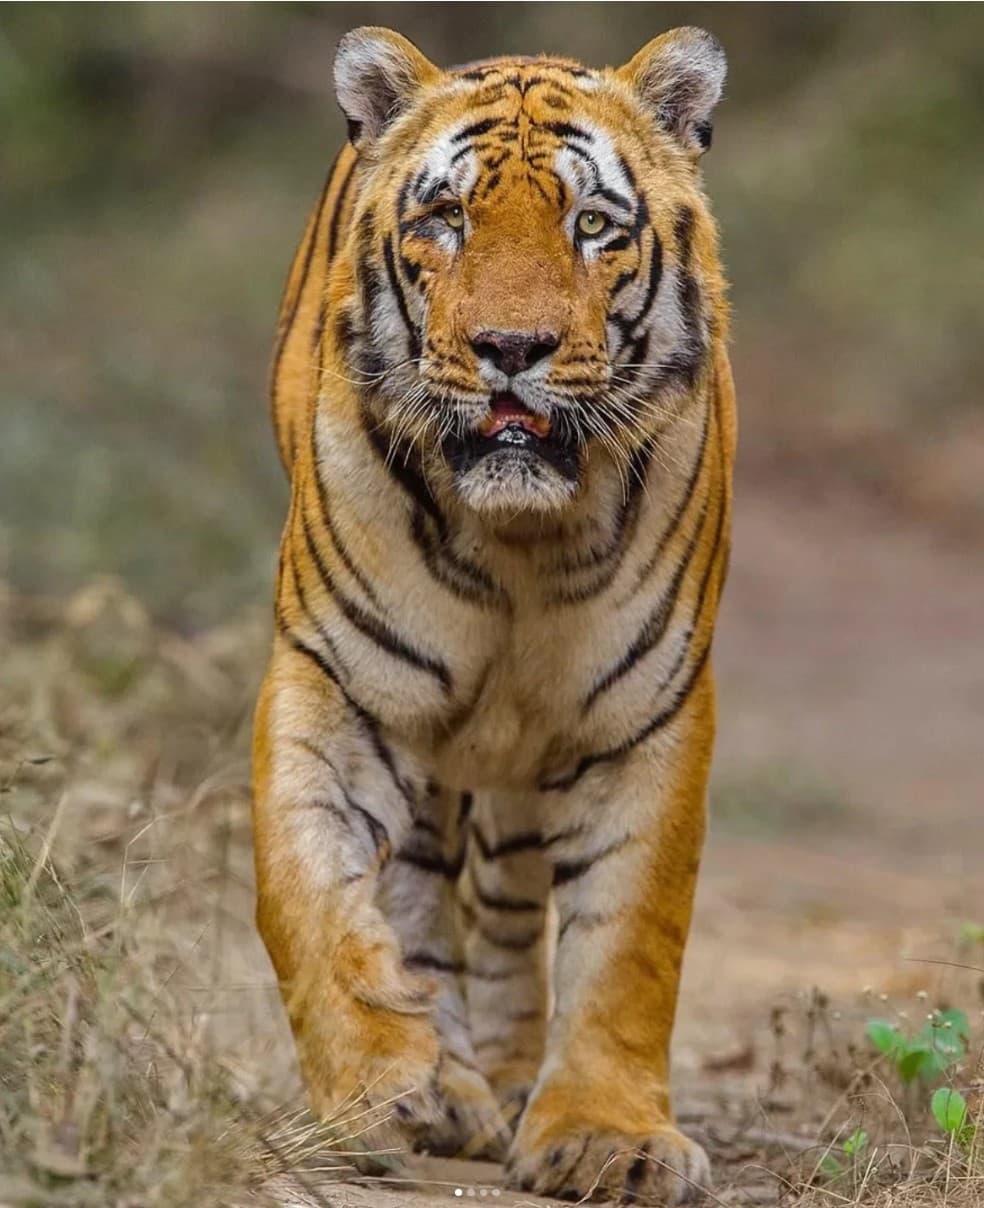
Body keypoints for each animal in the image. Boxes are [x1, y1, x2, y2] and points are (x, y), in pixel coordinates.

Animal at [252, 23, 735, 1205]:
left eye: (592, 224)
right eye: (447, 219)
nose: (511, 348)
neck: (519, 544)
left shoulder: (650, 718)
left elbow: (628, 943)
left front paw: (610, 1135)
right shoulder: (334, 682)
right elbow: (312, 895)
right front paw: (381, 1082)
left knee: (512, 906)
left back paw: (511, 1080)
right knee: (424, 893)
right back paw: (450, 1084)